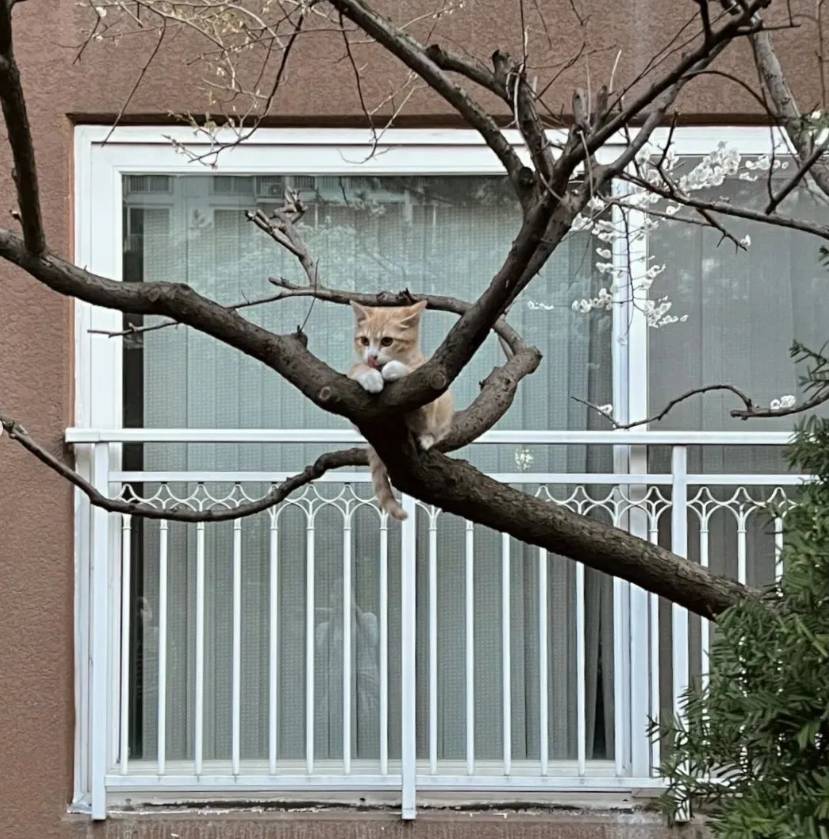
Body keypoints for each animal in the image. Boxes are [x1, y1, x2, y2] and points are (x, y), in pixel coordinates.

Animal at [348, 302, 452, 520]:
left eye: (387, 341)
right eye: (364, 340)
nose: (372, 357)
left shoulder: (429, 388)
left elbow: (414, 375)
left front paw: (393, 369)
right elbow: (358, 369)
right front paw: (371, 377)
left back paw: (427, 439)